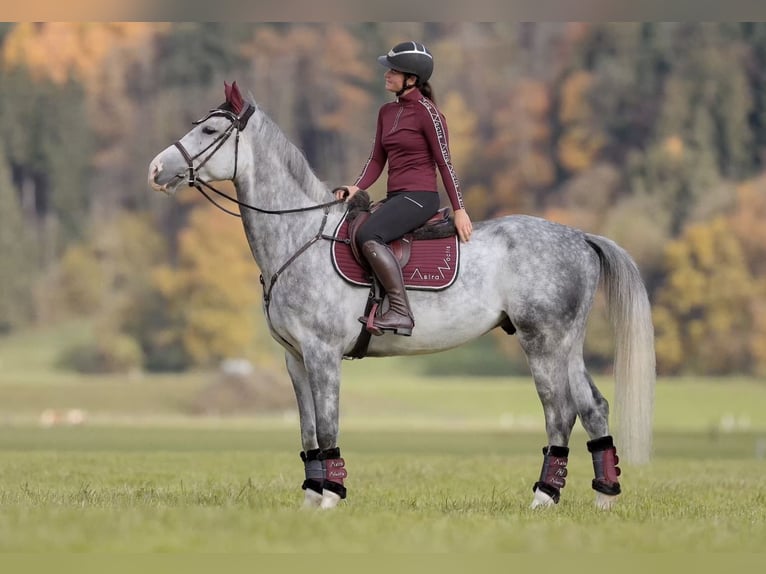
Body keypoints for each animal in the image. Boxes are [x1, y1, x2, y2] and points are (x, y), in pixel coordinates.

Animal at [148, 82, 655, 511]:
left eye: (209, 130)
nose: (155, 169)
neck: (299, 235)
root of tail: (579, 236)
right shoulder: (295, 358)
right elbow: (309, 429)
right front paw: (311, 498)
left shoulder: (322, 353)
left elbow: (328, 424)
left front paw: (330, 496)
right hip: (567, 344)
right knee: (593, 407)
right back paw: (604, 497)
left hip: (542, 342)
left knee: (560, 411)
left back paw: (544, 498)